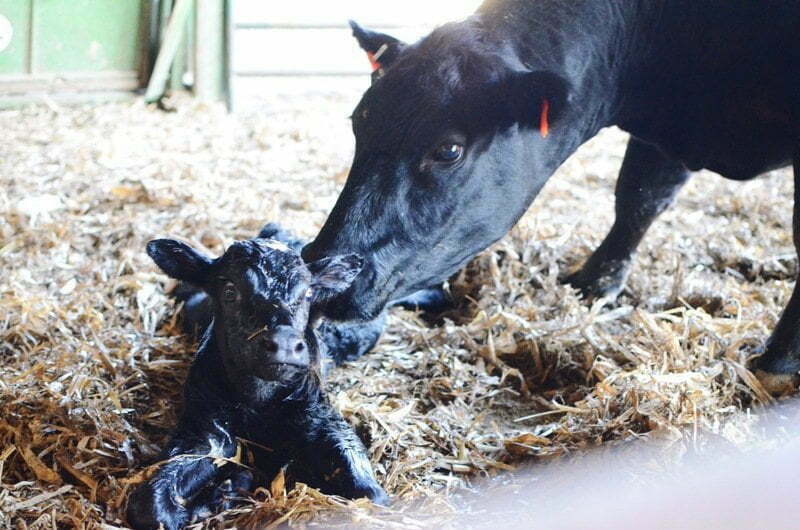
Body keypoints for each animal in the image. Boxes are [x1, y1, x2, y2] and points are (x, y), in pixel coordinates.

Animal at [128, 236, 388, 528]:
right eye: (230, 291)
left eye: (308, 295)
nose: (284, 343)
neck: (257, 402)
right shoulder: (205, 429)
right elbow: (150, 506)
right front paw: (223, 493)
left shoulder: (321, 417)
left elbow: (371, 496)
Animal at [304, 1, 800, 392]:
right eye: (359, 122)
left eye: (448, 149)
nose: (324, 268)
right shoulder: (661, 138)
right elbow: (639, 198)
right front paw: (595, 283)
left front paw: (779, 362)